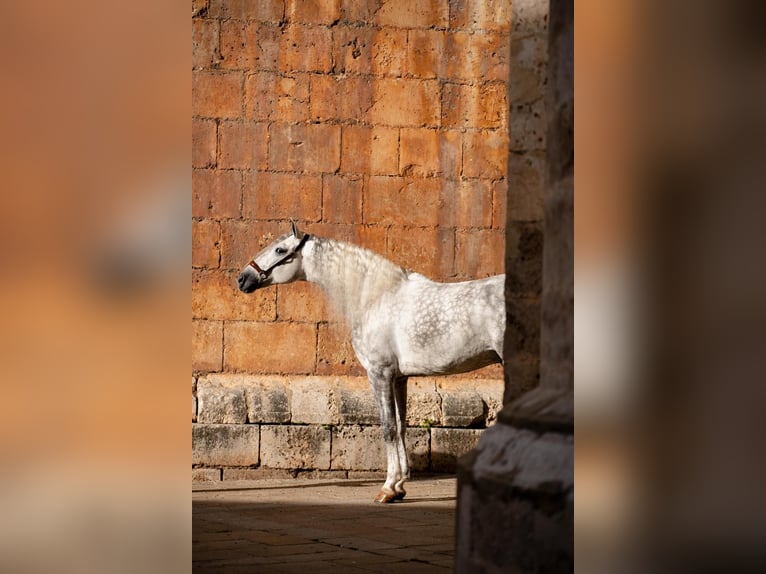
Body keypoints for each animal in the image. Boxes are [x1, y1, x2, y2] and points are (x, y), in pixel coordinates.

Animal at [237, 221, 505, 503]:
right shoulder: (399, 378)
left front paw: (387, 488)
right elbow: (401, 426)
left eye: (280, 249)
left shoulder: (380, 373)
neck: (375, 297)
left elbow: (387, 428)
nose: (243, 278)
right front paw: (399, 486)